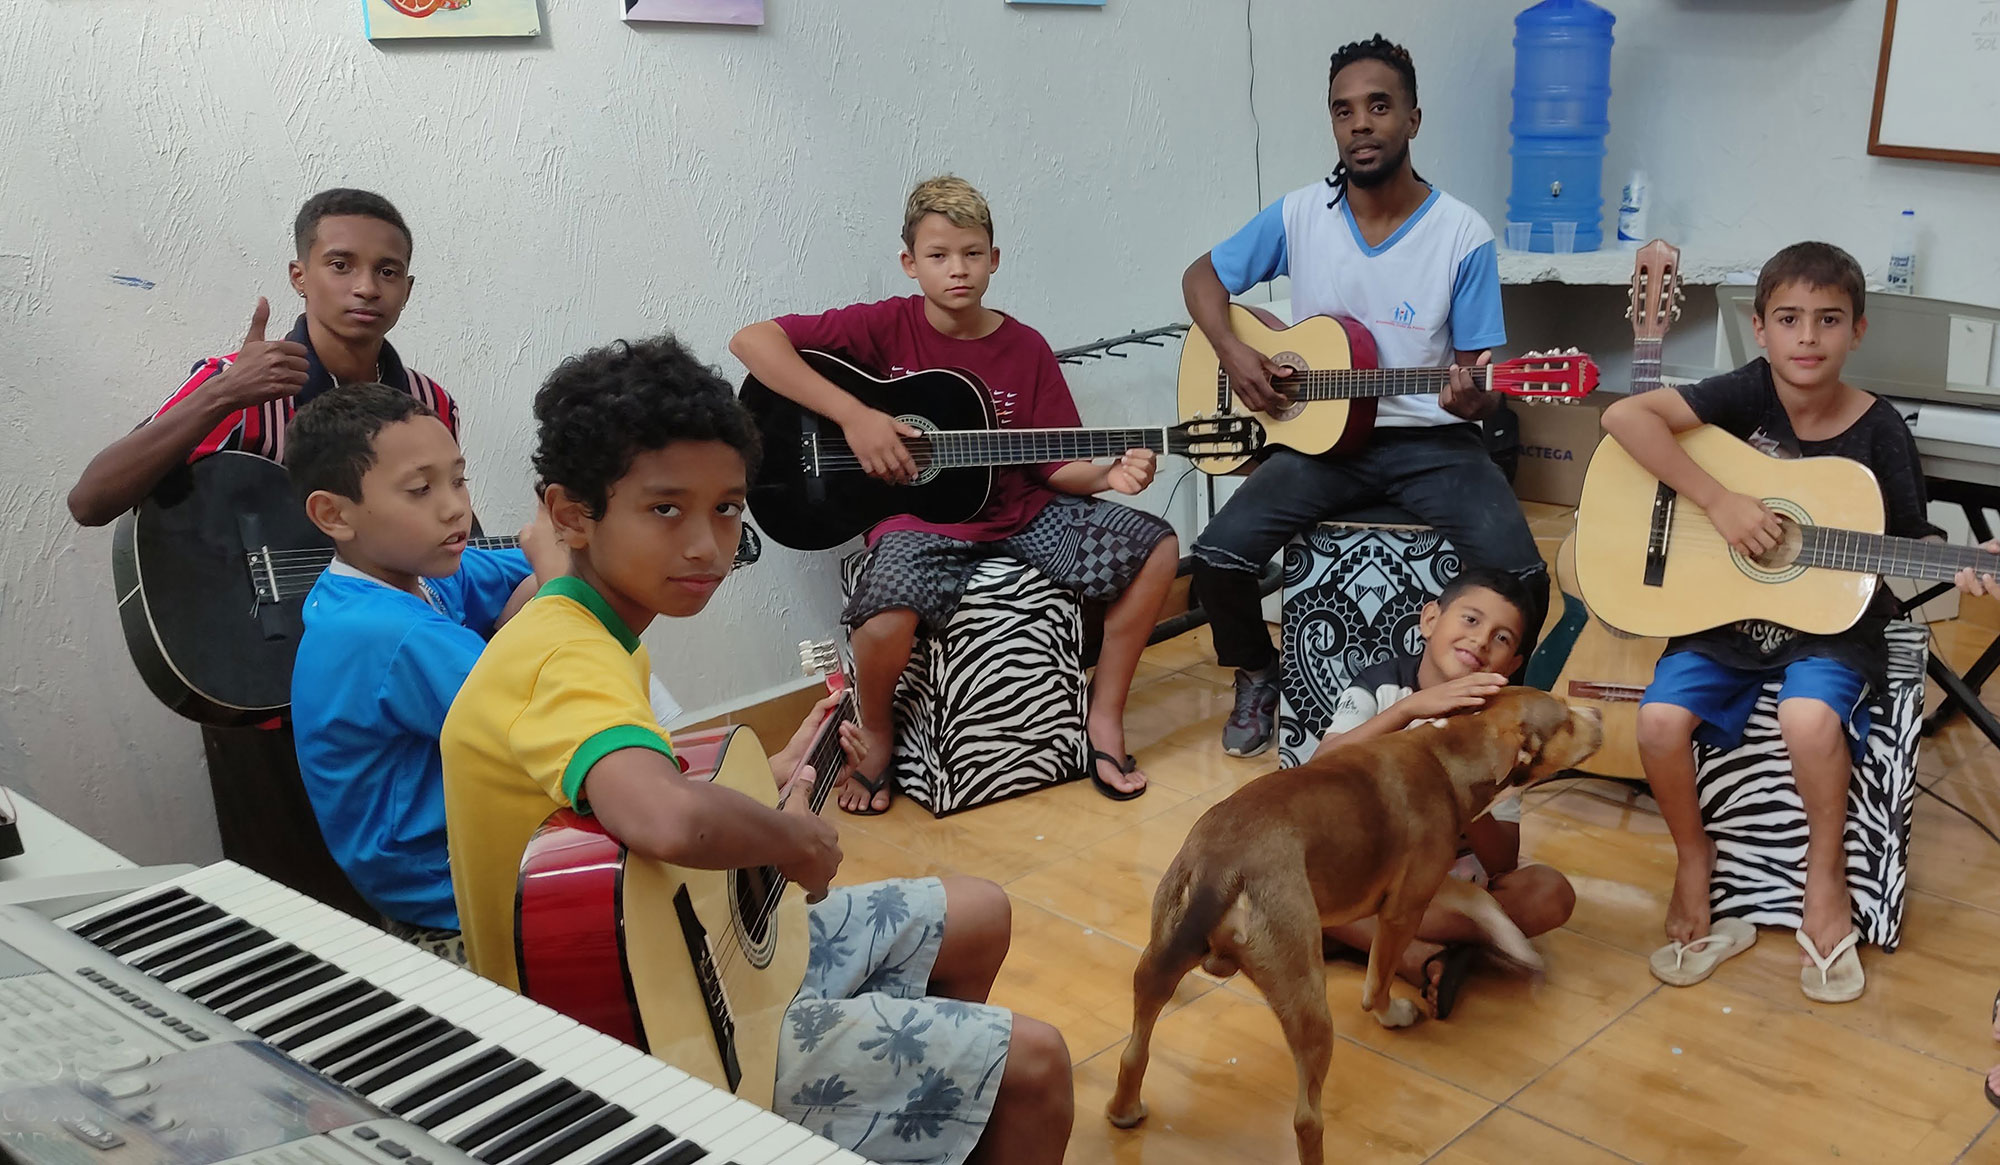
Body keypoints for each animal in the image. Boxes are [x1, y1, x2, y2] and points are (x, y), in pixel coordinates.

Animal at [1104, 688, 1600, 1160]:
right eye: (1565, 717)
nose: (1600, 714)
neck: (1451, 750)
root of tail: (1223, 869)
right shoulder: (1405, 907)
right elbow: (1378, 979)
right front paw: (1390, 1012)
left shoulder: (1433, 884)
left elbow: (1483, 900)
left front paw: (1513, 942)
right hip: (1306, 998)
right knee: (1307, 1119)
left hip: (1157, 960)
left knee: (1133, 1051)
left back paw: (1125, 1110)